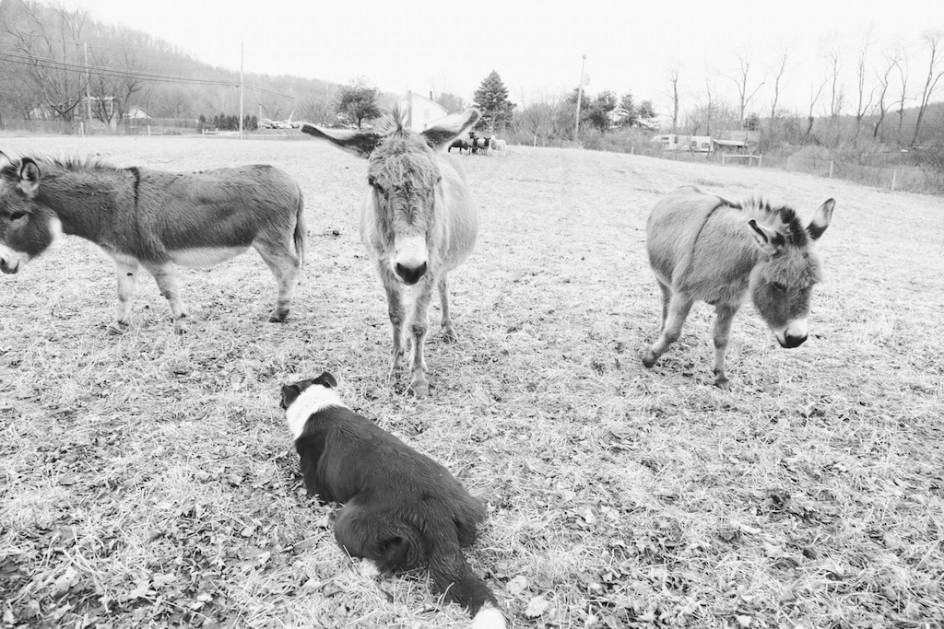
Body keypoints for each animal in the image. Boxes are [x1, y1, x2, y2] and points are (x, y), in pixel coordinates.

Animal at [280, 370, 506, 624]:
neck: (316, 404)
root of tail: (435, 508)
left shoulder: (316, 488)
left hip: (351, 520)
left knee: (398, 545)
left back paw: (370, 569)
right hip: (465, 505)